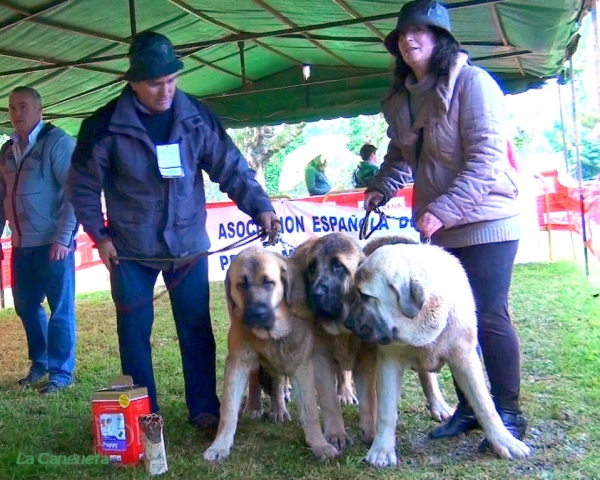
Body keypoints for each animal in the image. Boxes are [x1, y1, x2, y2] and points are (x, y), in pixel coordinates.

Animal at [204, 246, 340, 464]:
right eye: (242, 284)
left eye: (269, 283)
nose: (258, 313)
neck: (273, 333)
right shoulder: (237, 362)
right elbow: (228, 410)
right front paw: (220, 445)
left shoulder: (301, 365)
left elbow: (310, 410)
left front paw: (319, 444)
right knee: (258, 379)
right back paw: (256, 406)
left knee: (278, 380)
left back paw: (279, 408)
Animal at [342, 244, 528, 464]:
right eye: (355, 293)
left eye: (365, 296)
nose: (348, 323)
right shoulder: (389, 361)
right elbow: (386, 411)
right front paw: (382, 450)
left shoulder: (465, 358)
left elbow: (485, 405)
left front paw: (504, 441)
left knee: (428, 378)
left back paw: (439, 406)